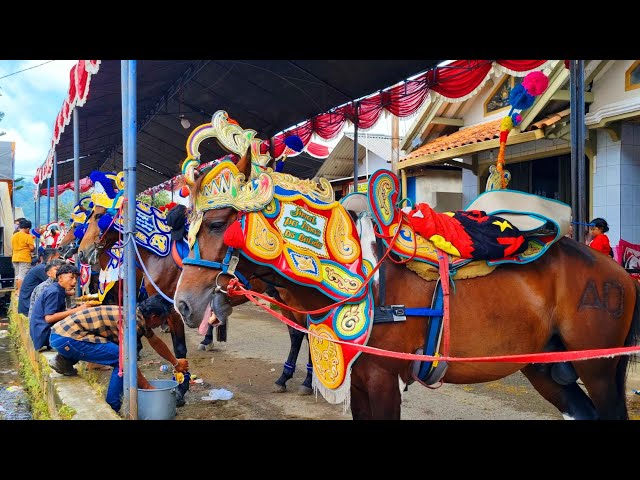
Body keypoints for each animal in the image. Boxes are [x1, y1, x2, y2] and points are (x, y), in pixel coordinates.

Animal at [174, 109, 640, 420]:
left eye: (217, 223)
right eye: (188, 228)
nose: (181, 304)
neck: (361, 275)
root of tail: (617, 272)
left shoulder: (382, 378)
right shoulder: (360, 378)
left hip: (598, 368)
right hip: (546, 366)